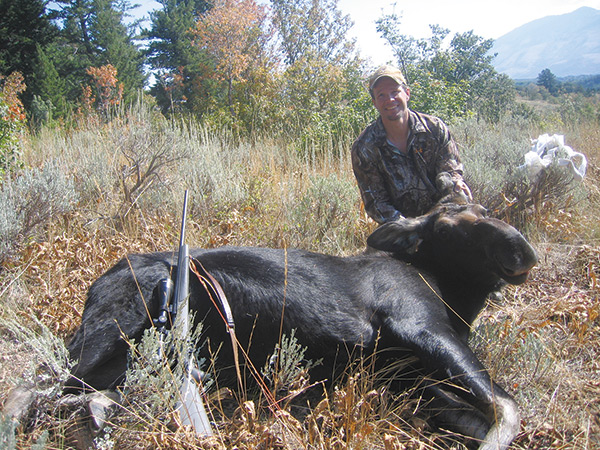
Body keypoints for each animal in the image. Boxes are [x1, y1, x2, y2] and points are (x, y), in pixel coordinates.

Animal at [61, 199, 540, 448]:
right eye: (445, 226)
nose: (521, 248)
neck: (455, 298)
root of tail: (95, 284)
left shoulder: (406, 379)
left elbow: (474, 416)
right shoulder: (419, 324)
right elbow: (507, 407)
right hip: (109, 330)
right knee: (56, 385)